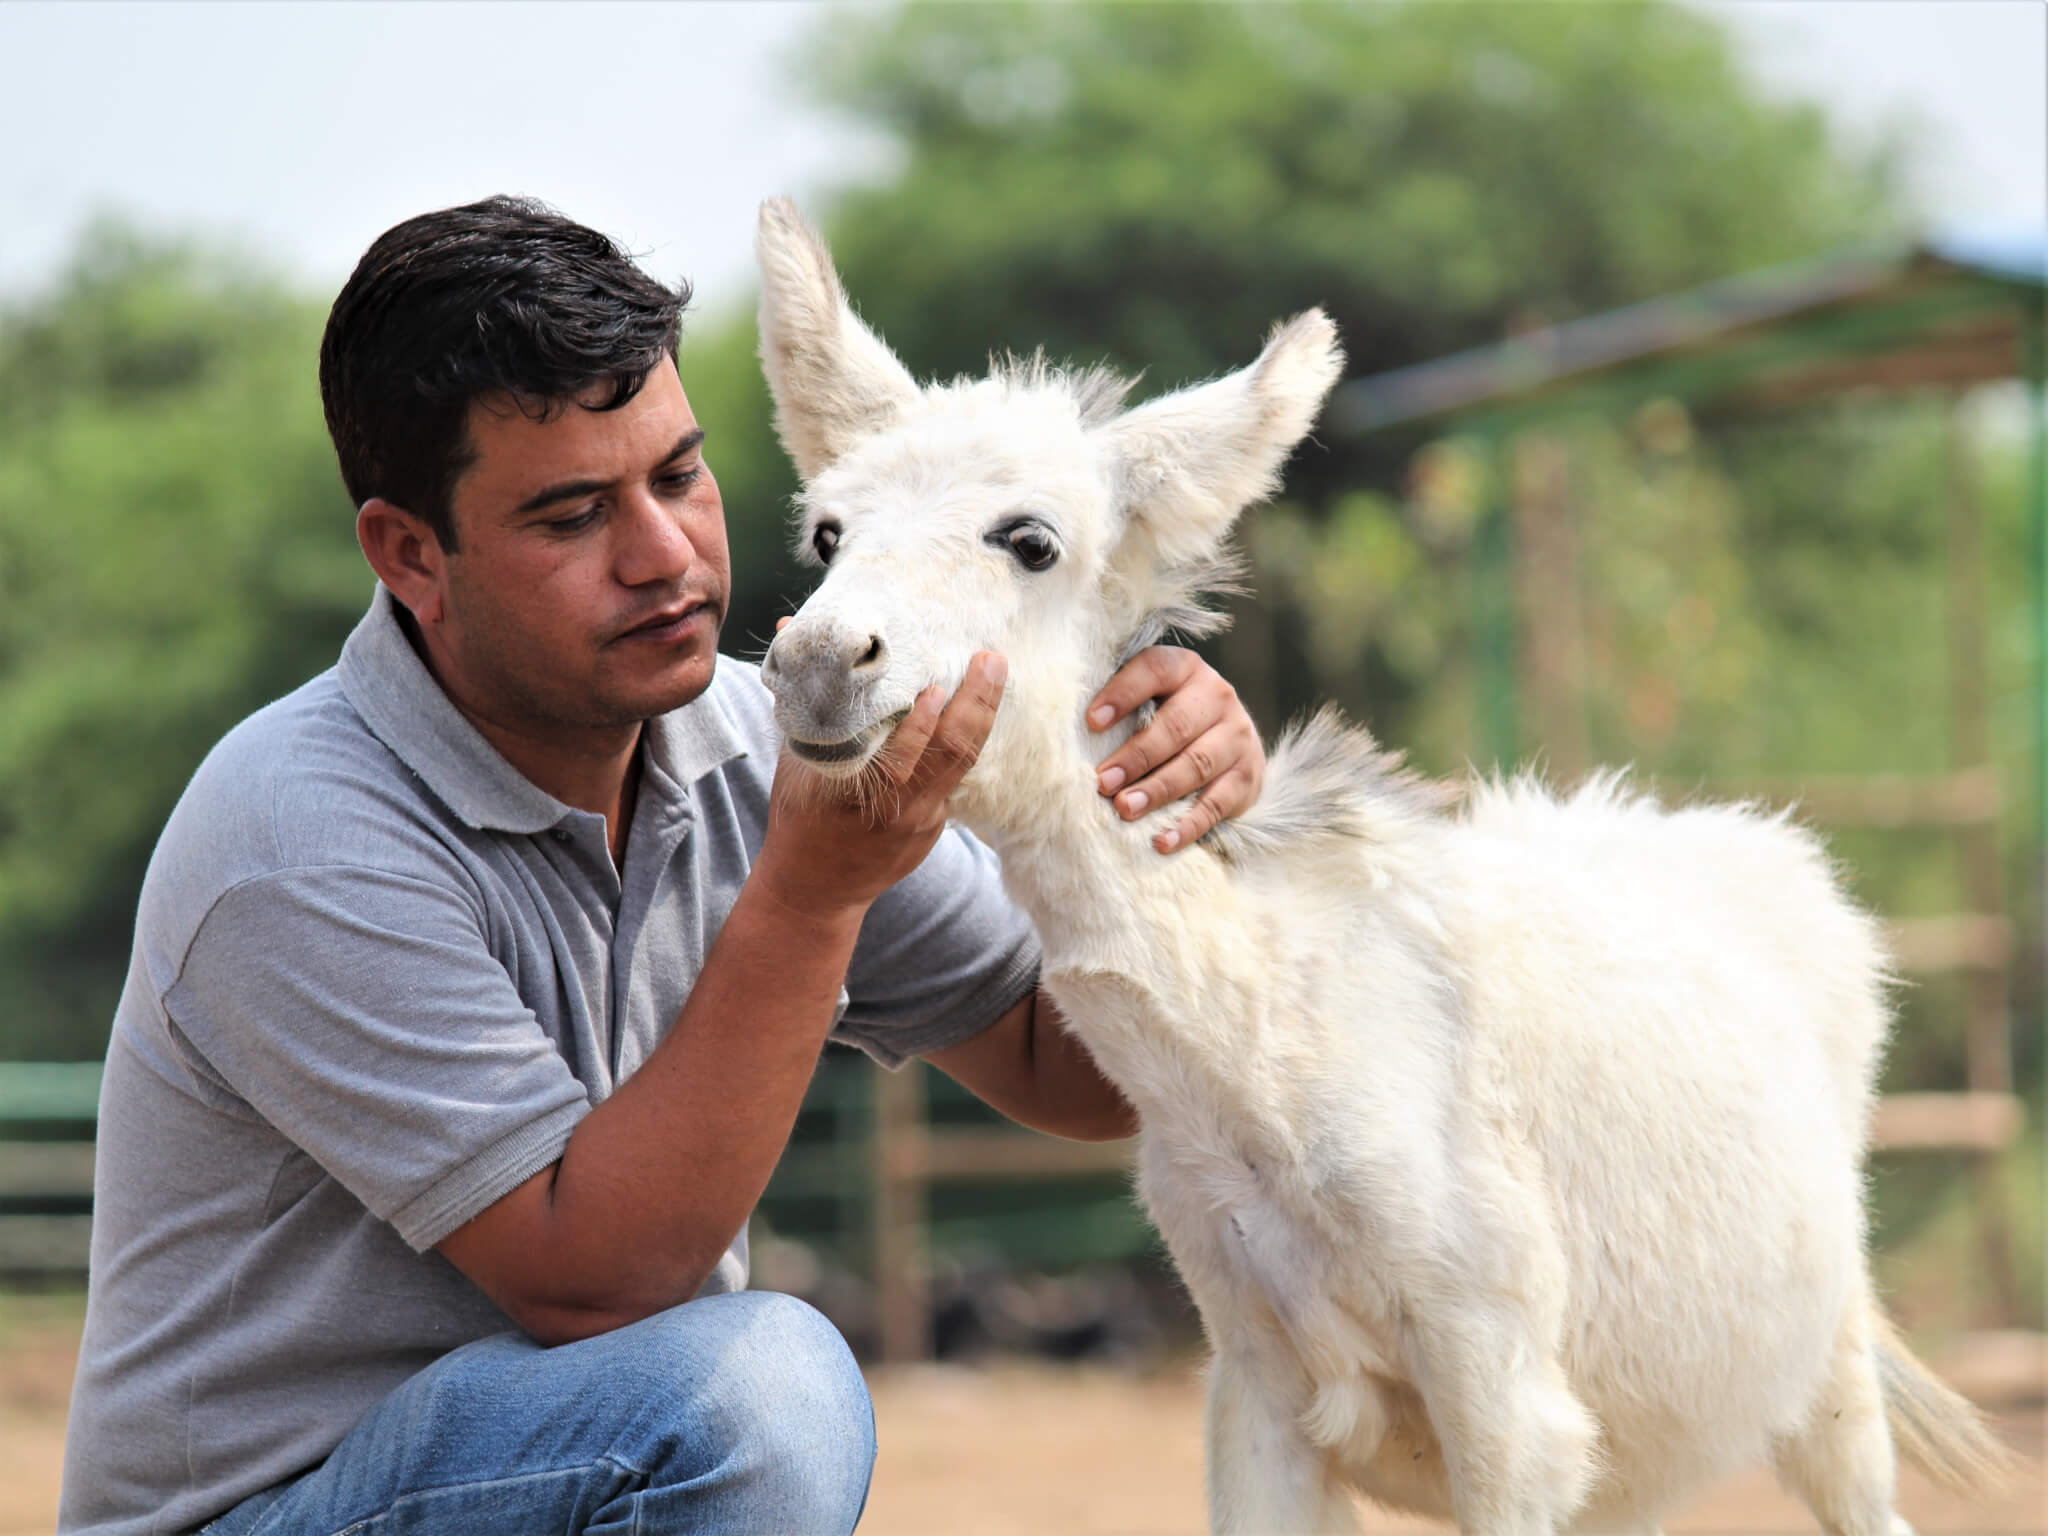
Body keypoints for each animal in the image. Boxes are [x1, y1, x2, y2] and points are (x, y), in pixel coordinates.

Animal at [753, 204, 1998, 1536]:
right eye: (825, 535)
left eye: (1027, 541)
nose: (818, 665)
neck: (1262, 1050)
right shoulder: (1250, 1381)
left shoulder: (1499, 1388)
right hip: (1635, 1463)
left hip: (1824, 1383)